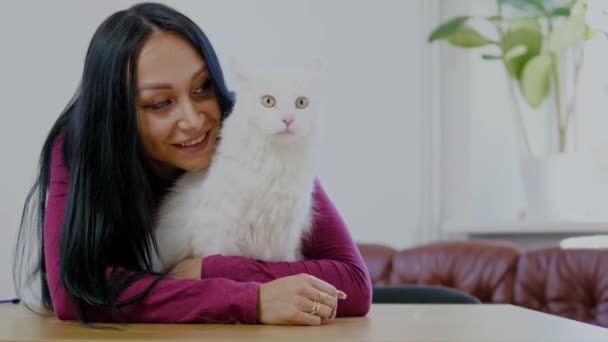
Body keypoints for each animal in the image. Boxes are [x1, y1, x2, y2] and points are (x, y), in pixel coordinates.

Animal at [152, 67, 320, 272]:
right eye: (268, 101)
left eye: (301, 103)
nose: (288, 120)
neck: (275, 163)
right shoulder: (217, 237)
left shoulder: (285, 241)